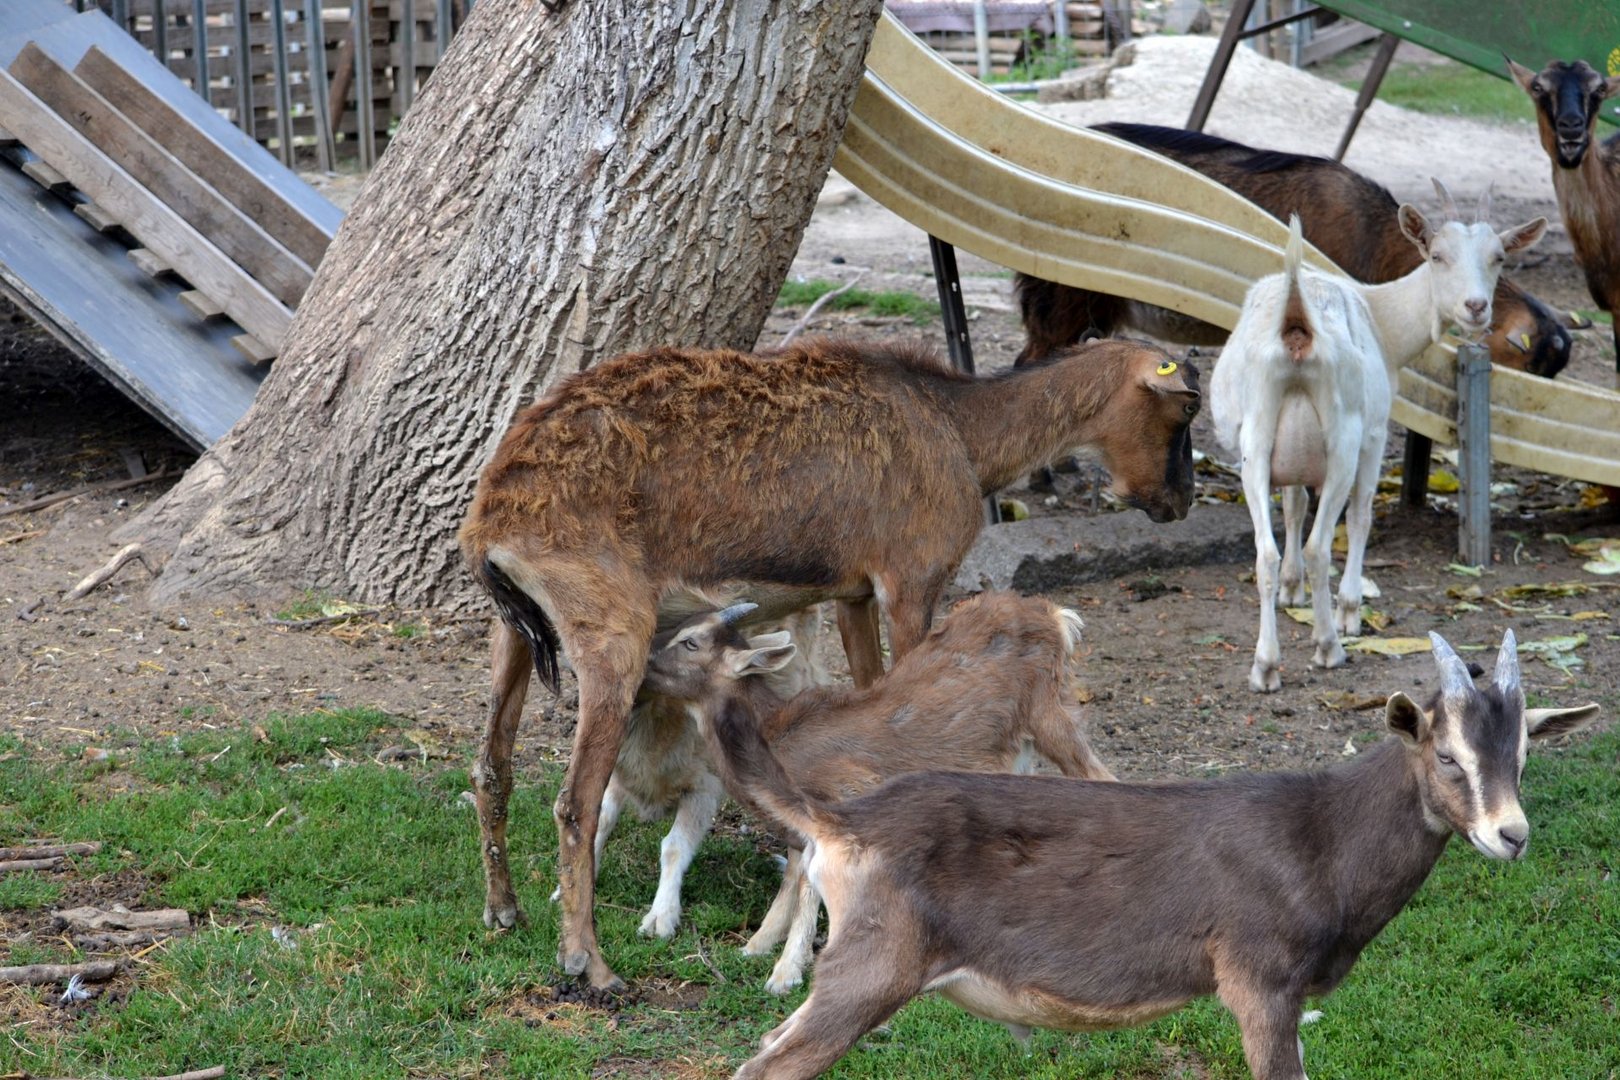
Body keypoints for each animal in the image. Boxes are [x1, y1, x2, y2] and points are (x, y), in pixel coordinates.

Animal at [463, 335, 1198, 990]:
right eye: (1183, 410)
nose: (1180, 501)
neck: (961, 430)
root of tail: (491, 525)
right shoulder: (911, 576)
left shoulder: (852, 593)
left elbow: (877, 693)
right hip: (611, 631)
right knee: (574, 802)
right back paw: (589, 963)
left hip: (514, 632)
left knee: (491, 766)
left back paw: (503, 910)